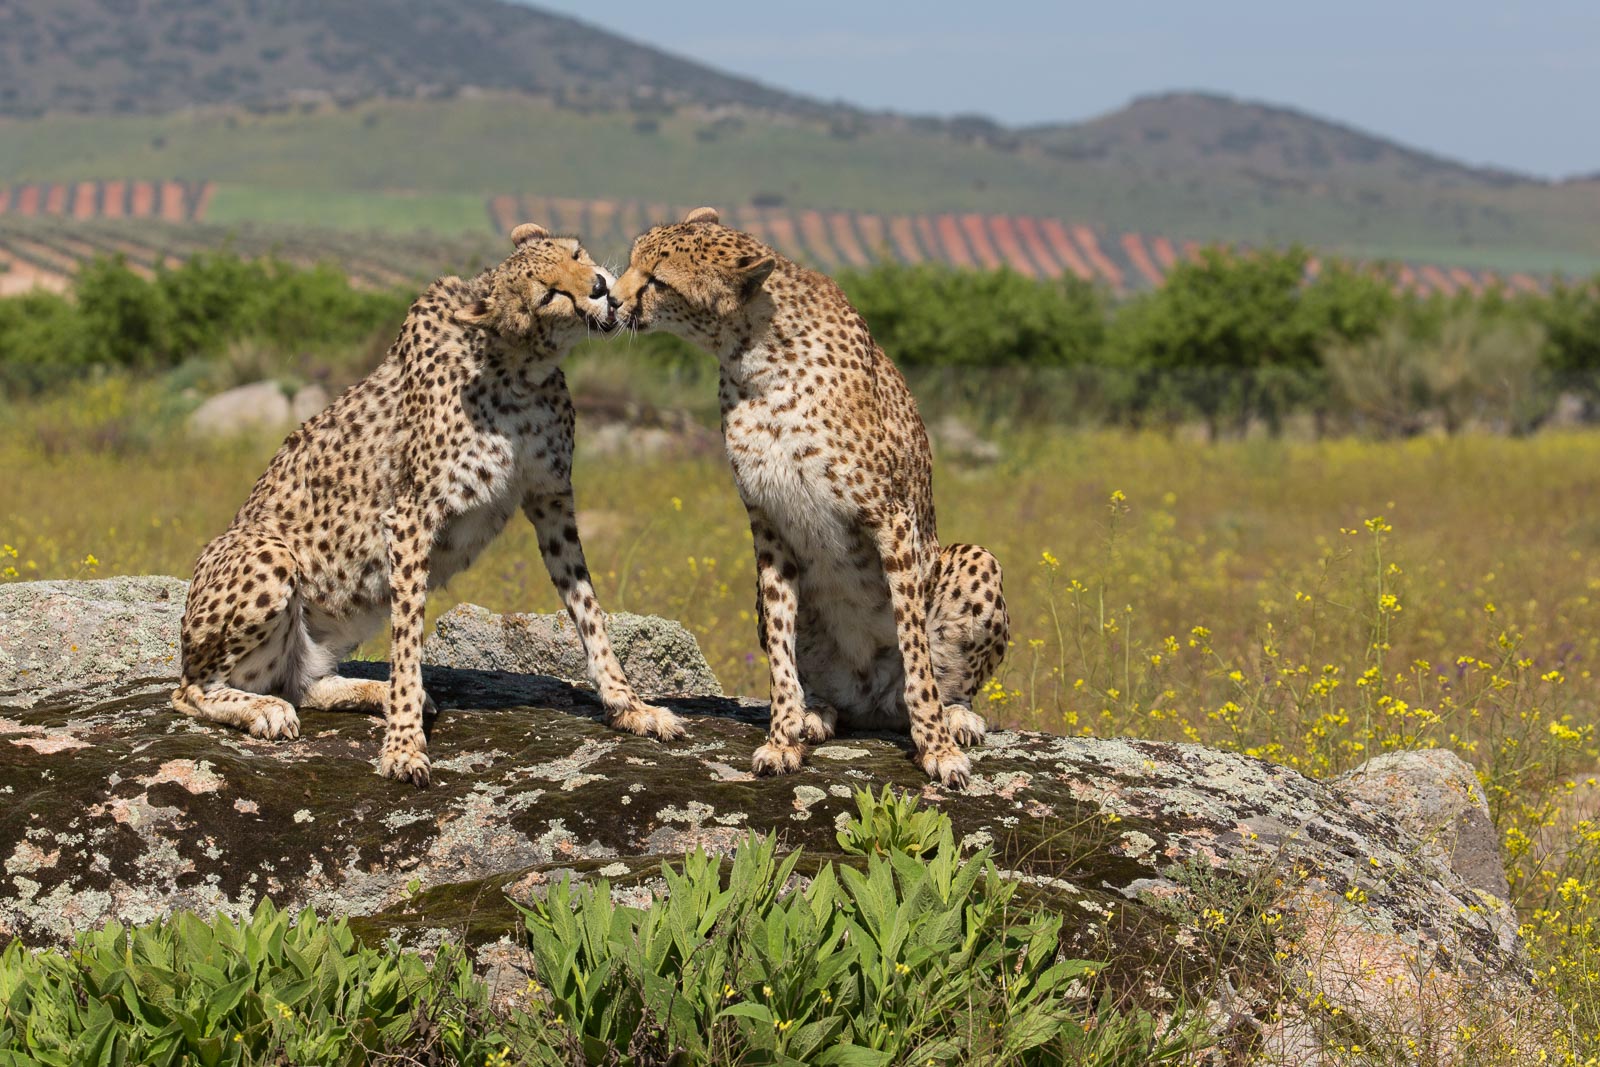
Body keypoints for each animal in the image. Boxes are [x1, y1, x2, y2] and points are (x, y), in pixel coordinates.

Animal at [172, 223, 684, 783]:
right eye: (549, 294)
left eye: (576, 253)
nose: (598, 286)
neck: (517, 366)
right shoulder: (410, 516)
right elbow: (408, 637)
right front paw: (403, 745)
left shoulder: (551, 499)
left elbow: (589, 612)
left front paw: (630, 707)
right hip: (269, 554)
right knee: (191, 691)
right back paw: (269, 708)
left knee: (302, 683)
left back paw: (377, 692)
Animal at [604, 207, 1004, 783]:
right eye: (635, 260)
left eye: (657, 279)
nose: (612, 299)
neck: (756, 356)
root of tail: (873, 707)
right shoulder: (769, 526)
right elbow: (779, 648)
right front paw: (783, 737)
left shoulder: (891, 519)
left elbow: (915, 649)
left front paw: (937, 747)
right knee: (827, 689)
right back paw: (817, 713)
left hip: (975, 558)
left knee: (945, 679)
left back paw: (956, 718)